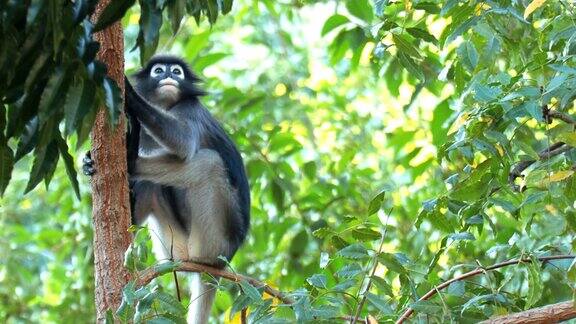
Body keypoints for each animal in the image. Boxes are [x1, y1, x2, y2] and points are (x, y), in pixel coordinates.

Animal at [84, 54, 250, 322]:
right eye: (159, 71)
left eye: (177, 72)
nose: (169, 76)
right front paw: (87, 162)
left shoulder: (190, 109)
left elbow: (183, 143)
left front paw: (130, 95)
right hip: (175, 245)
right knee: (152, 184)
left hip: (215, 242)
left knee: (209, 163)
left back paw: (132, 161)